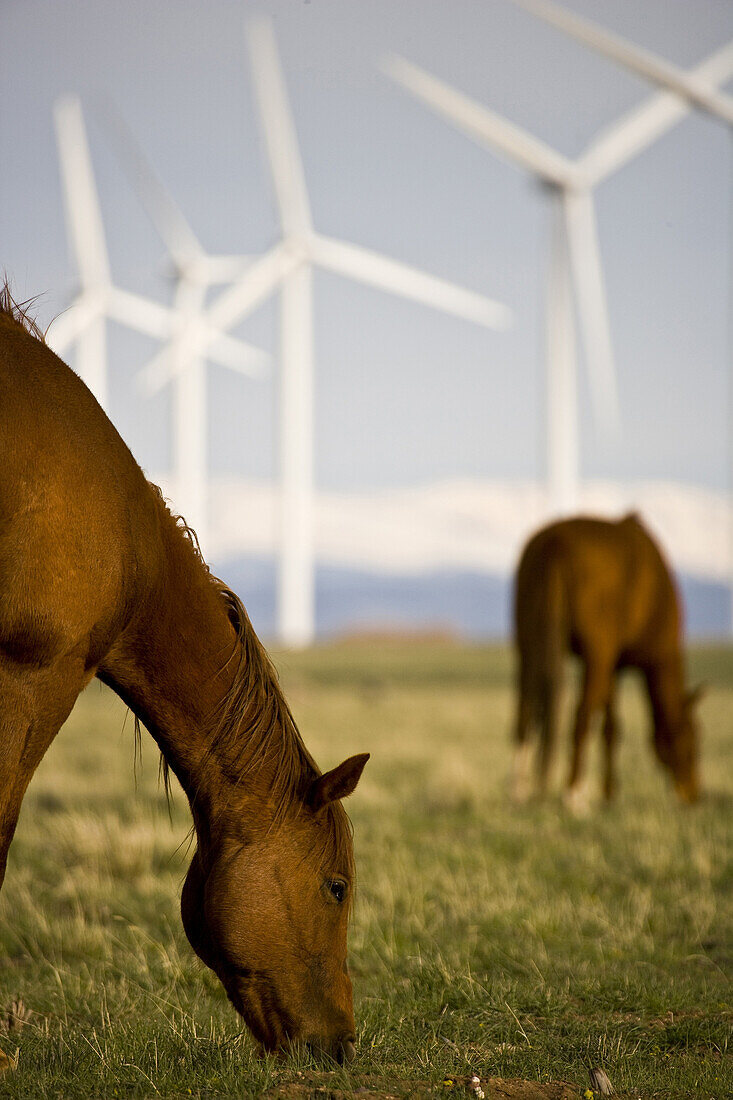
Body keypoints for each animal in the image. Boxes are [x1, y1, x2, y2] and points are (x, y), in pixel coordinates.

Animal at [510, 514, 699, 809]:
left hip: (527, 643)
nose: (694, 795)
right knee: (581, 716)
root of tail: (554, 543)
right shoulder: (611, 659)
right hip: (595, 654)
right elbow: (610, 725)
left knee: (525, 710)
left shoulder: (614, 665)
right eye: (692, 745)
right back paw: (574, 794)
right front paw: (607, 794)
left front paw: (609, 792)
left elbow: (611, 726)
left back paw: (519, 791)